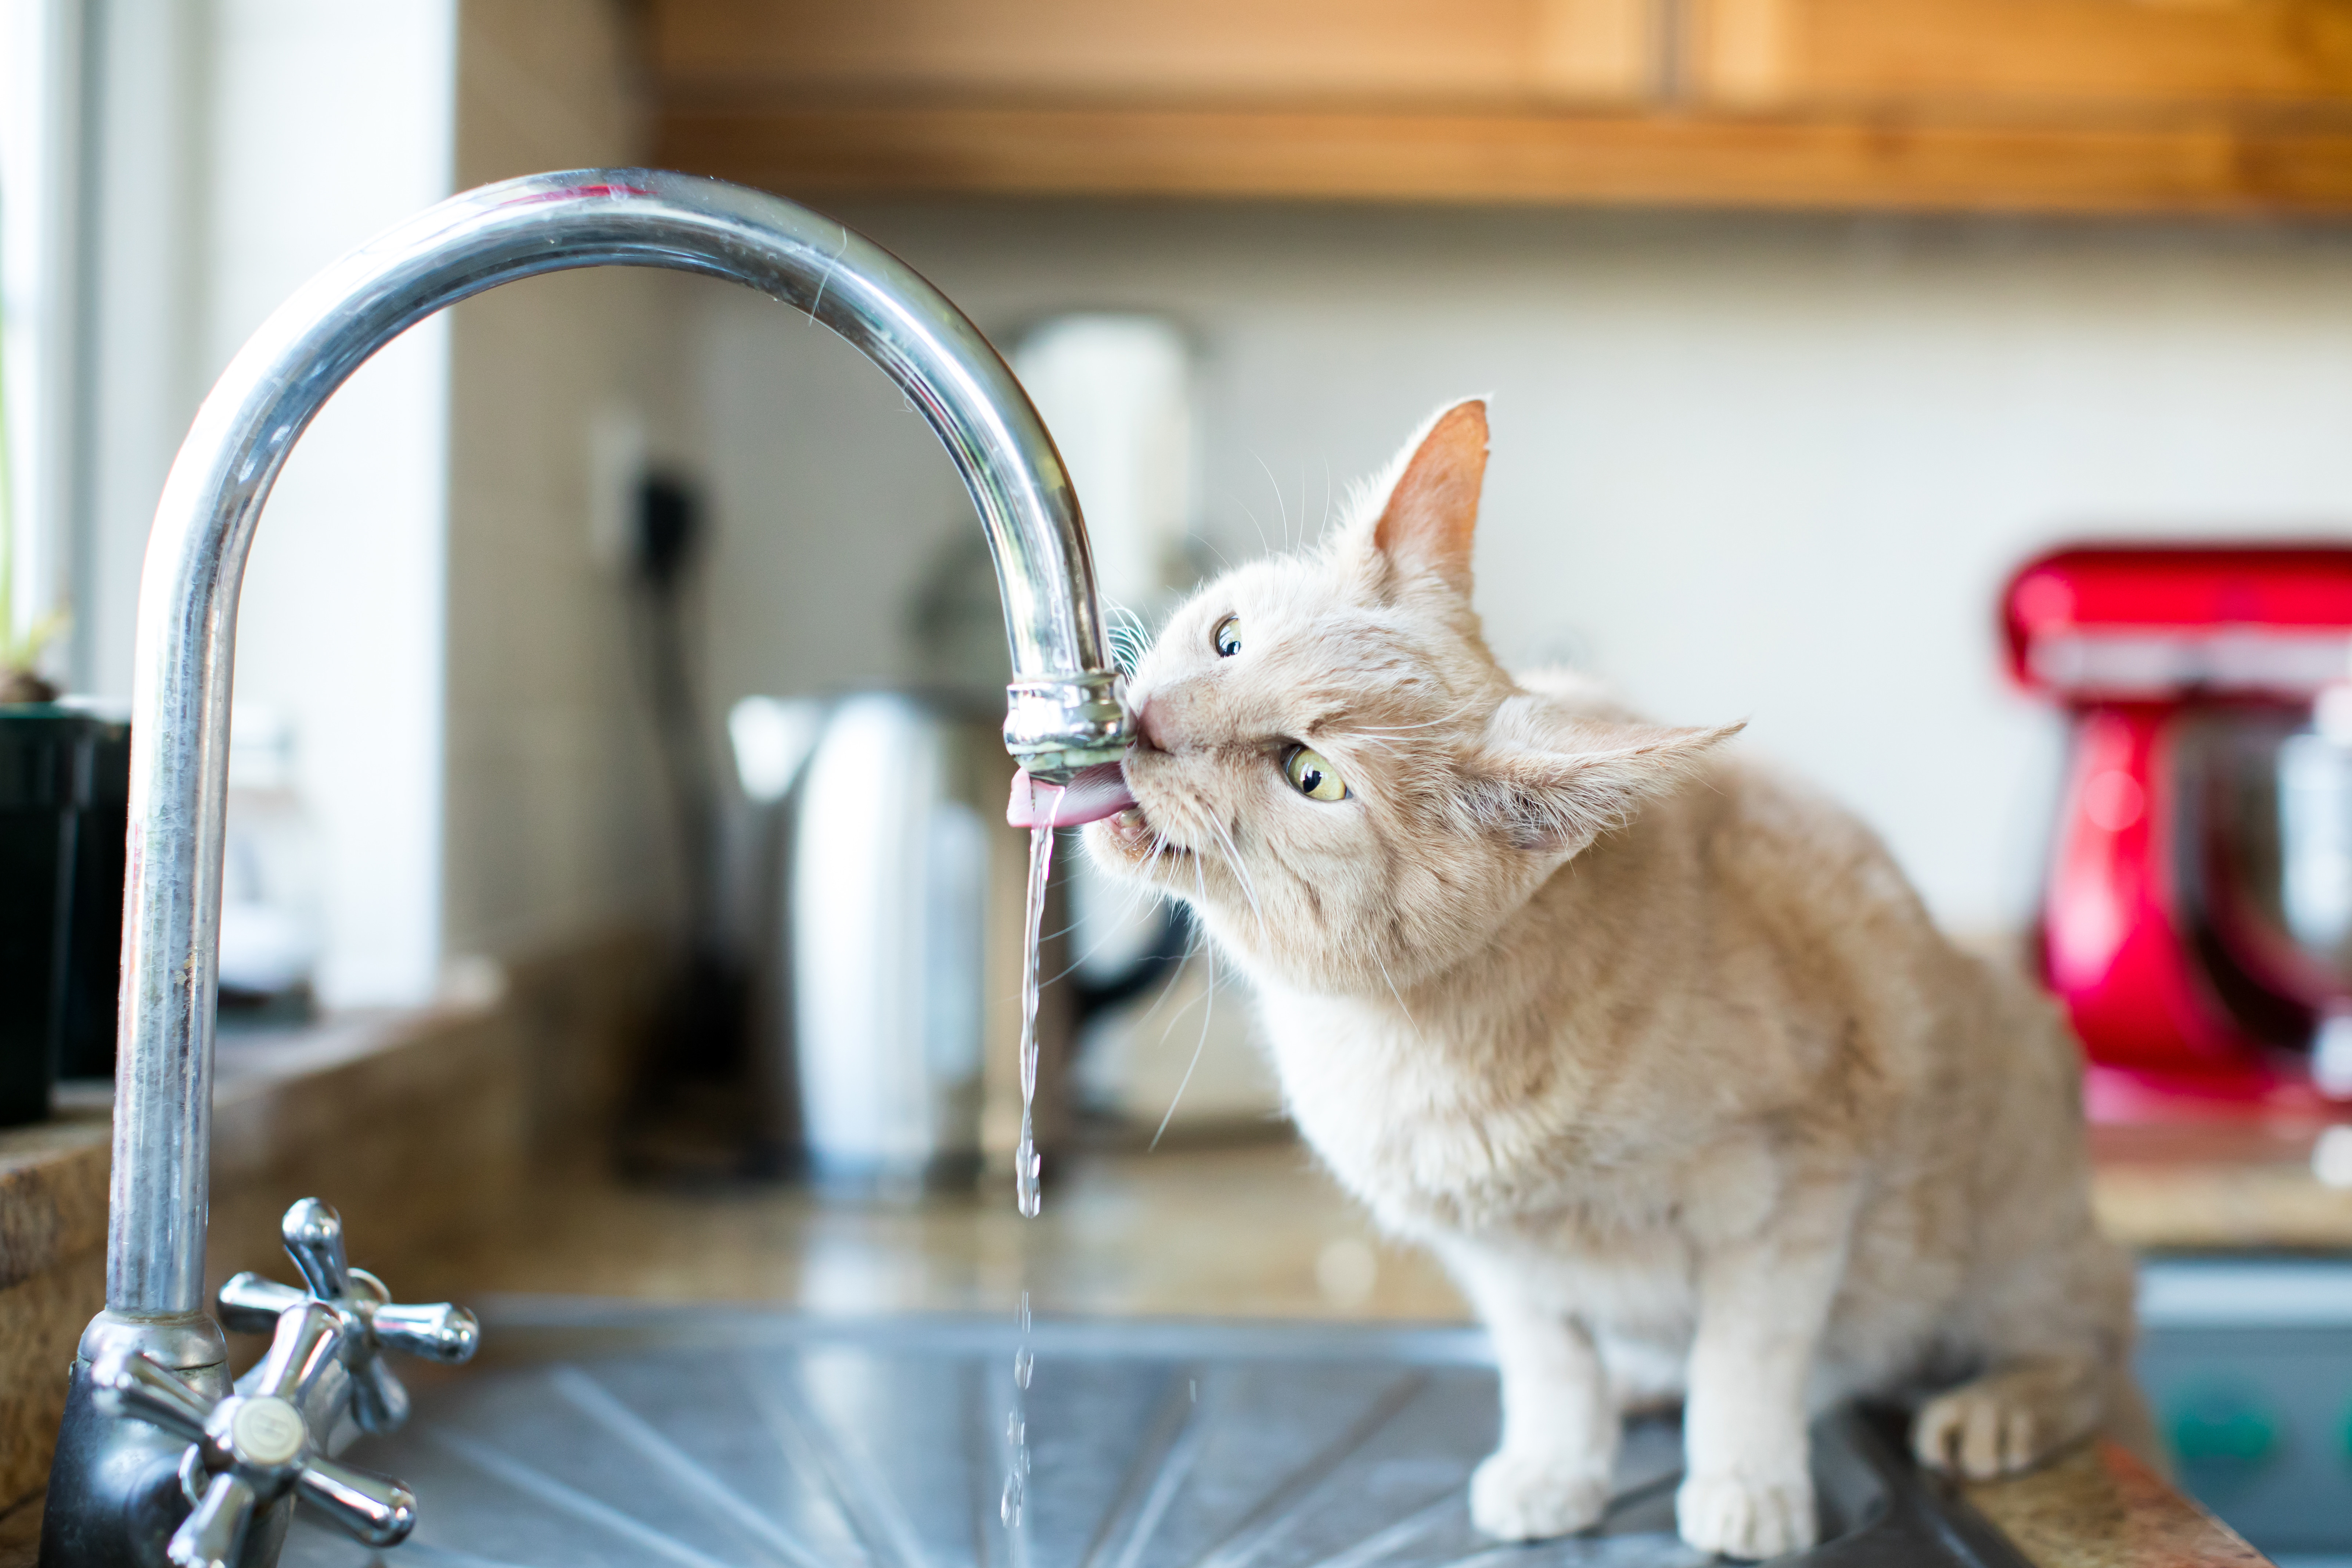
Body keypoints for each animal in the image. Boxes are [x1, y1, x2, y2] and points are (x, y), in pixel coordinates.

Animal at [1082, 402, 2154, 1561]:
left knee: (2093, 1331)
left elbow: (1747, 1357)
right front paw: (1557, 1465)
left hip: (2008, 1221)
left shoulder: (1794, 1191)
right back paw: (1640, 1379)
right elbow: (1550, 1369)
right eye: (1228, 638)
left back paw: (1997, 1407)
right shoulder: (1504, 1267)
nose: (1148, 723)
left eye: (1308, 774)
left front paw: (1745, 1485)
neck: (1407, 1043)